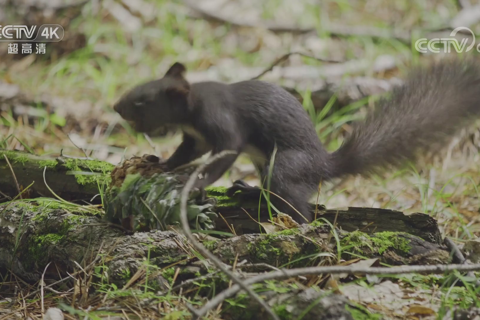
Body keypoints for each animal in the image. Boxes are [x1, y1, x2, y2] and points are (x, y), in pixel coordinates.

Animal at [113, 58, 480, 222]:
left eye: (144, 99)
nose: (116, 107)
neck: (191, 108)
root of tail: (323, 165)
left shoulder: (221, 123)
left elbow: (222, 155)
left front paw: (193, 181)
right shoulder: (195, 138)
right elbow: (186, 153)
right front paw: (162, 165)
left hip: (285, 166)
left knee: (299, 207)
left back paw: (291, 221)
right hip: (265, 165)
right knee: (273, 193)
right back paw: (249, 193)